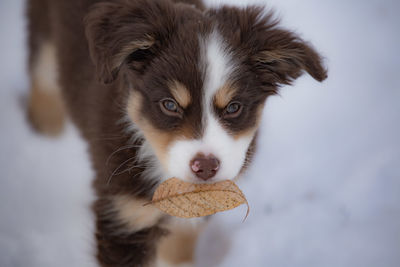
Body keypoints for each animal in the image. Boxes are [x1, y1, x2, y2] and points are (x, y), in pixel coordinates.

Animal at [26, 0, 326, 266]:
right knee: (42, 70)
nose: (205, 167)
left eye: (233, 107)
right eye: (169, 105)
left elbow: (179, 246)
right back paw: (46, 130)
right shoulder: (124, 216)